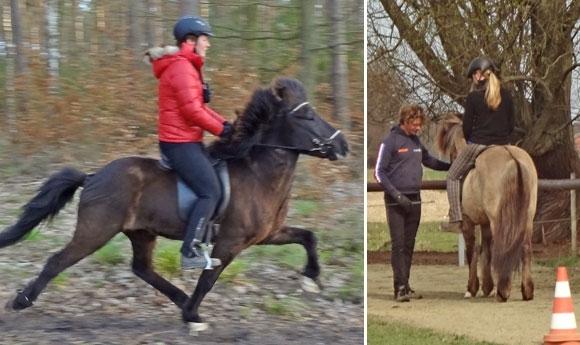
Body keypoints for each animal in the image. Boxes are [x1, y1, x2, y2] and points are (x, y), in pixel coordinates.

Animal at [0, 76, 348, 330]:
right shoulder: (230, 242)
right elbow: (208, 279)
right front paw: (193, 315)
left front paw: (312, 277)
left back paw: (179, 298)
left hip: (141, 233)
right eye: (307, 115)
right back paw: (20, 301)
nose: (343, 145)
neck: (257, 174)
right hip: (95, 231)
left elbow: (308, 237)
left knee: (142, 268)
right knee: (57, 261)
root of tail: (93, 175)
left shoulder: (268, 234)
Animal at [438, 113, 536, 300]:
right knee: (525, 248)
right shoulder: (484, 224)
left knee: (503, 247)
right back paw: (526, 290)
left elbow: (473, 252)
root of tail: (512, 158)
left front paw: (472, 288)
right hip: (527, 218)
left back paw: (503, 290)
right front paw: (487, 286)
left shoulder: (468, 222)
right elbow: (486, 251)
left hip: (499, 220)